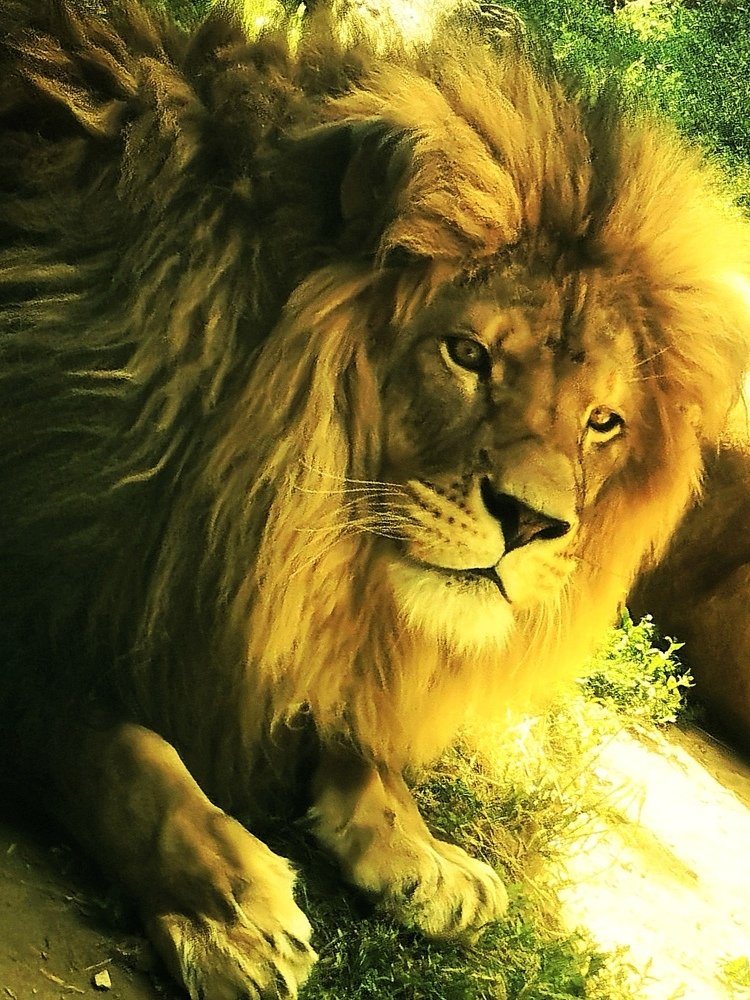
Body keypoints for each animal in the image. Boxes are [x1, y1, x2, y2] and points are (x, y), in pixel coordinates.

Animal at [1, 1, 749, 997]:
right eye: (467, 355)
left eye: (603, 423)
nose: (533, 523)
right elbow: (116, 751)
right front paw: (231, 909)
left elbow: (352, 727)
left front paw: (423, 853)